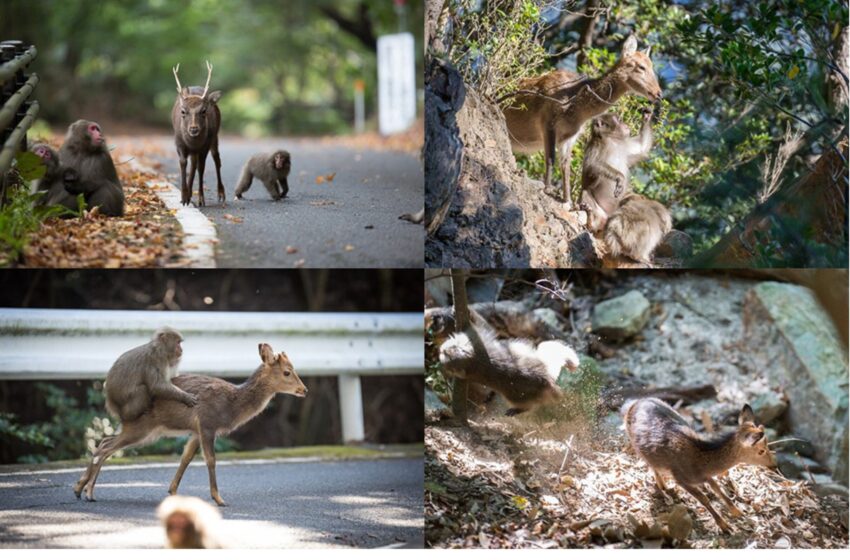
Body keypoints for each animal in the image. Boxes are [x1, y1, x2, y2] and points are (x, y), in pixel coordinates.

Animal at [75, 344, 308, 506]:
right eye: (287, 372)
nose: (304, 390)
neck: (232, 405)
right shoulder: (207, 423)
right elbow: (211, 460)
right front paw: (219, 499)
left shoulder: (195, 431)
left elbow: (185, 458)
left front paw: (172, 491)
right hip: (142, 427)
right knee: (105, 447)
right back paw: (89, 493)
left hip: (145, 431)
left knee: (104, 441)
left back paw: (79, 488)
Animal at [171, 60, 225, 208]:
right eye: (183, 111)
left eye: (204, 110)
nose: (194, 129)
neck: (192, 143)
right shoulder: (178, 142)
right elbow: (183, 163)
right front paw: (184, 197)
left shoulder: (205, 145)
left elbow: (202, 167)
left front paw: (201, 199)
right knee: (193, 164)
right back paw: (189, 195)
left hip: (215, 136)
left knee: (217, 159)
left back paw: (221, 194)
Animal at [438, 308, 584, 414]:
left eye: (449, 354)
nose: (441, 350)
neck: (476, 359)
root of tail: (549, 378)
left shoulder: (480, 338)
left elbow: (480, 323)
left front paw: (465, 312)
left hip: (515, 396)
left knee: (531, 406)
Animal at [500, 36, 660, 209]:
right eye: (642, 67)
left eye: (652, 66)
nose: (658, 93)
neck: (575, 111)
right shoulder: (547, 120)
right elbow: (550, 158)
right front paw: (547, 188)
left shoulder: (570, 136)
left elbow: (566, 165)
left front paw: (567, 200)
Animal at [624, 396, 776, 532]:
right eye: (761, 450)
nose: (774, 465)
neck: (701, 465)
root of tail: (634, 403)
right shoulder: (681, 478)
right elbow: (703, 499)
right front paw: (725, 526)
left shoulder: (706, 476)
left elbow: (718, 489)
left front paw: (738, 512)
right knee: (651, 465)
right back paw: (663, 487)